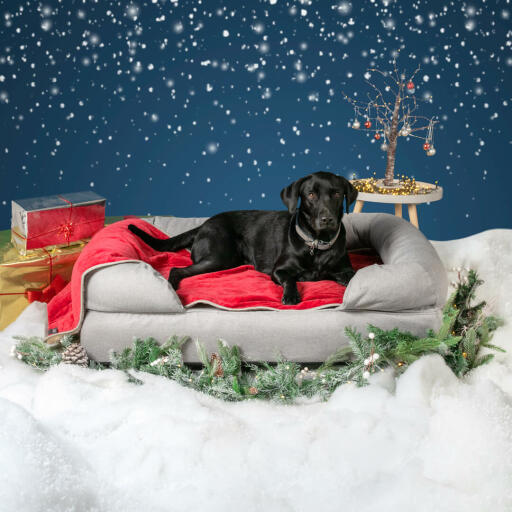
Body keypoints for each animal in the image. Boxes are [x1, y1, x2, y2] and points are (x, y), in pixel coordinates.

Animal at [128, 172, 358, 304]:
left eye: (337, 194)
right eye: (311, 195)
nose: (327, 219)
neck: (317, 243)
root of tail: (205, 223)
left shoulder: (346, 268)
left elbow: (348, 276)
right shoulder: (279, 270)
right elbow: (290, 279)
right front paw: (291, 295)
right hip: (218, 257)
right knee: (176, 270)